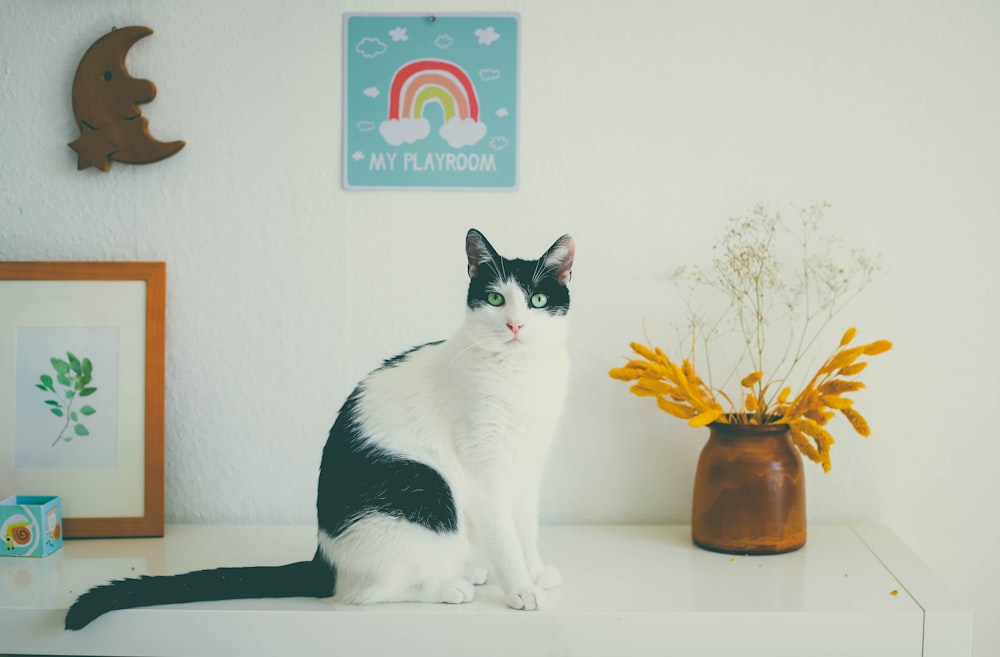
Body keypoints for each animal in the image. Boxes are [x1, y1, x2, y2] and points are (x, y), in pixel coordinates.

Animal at [66, 228, 576, 628]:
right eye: (495, 298)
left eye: (537, 300)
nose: (515, 325)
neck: (518, 374)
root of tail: (325, 558)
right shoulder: (483, 474)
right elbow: (505, 538)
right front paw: (521, 588)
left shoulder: (525, 469)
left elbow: (524, 529)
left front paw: (534, 571)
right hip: (428, 495)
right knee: (368, 591)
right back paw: (448, 586)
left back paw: (464, 570)